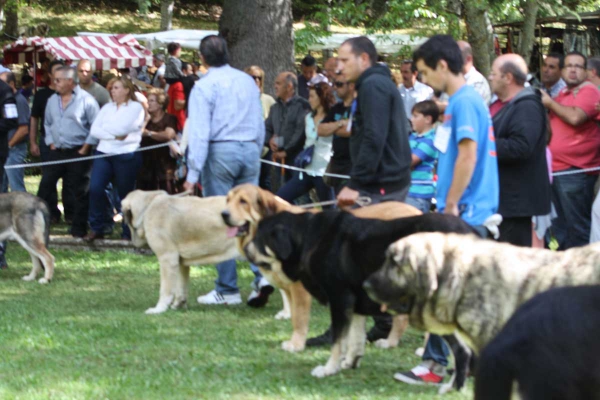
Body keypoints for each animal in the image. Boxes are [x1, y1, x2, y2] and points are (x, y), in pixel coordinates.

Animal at [246, 209, 476, 382]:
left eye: (258, 238)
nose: (245, 247)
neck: (308, 239)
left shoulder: (340, 299)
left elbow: (338, 340)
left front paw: (329, 368)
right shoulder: (356, 302)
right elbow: (355, 338)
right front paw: (350, 362)